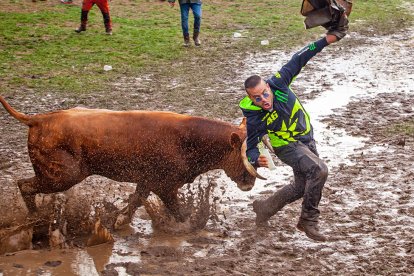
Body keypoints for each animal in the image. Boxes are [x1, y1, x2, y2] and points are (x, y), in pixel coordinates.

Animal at [0, 96, 266, 225]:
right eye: (248, 154)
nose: (250, 183)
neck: (187, 140)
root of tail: (38, 119)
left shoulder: (147, 181)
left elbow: (136, 200)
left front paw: (120, 220)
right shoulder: (164, 186)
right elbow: (178, 212)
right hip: (61, 177)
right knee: (24, 185)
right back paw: (36, 217)